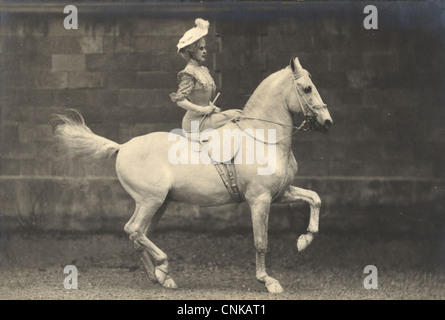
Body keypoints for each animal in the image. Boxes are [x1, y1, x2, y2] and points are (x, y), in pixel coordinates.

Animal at [53, 57, 330, 292]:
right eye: (307, 88)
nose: (327, 122)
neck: (263, 138)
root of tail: (122, 147)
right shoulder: (259, 200)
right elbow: (261, 242)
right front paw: (268, 281)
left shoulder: (280, 193)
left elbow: (315, 198)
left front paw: (304, 240)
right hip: (151, 200)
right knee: (134, 229)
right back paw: (163, 267)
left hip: (158, 204)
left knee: (139, 234)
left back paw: (159, 277)